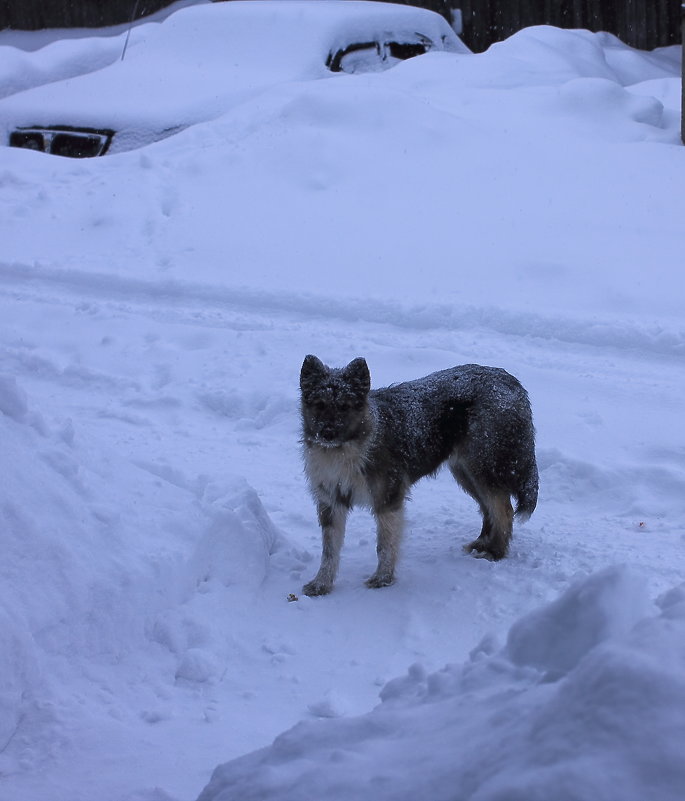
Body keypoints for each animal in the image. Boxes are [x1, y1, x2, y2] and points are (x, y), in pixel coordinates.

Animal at [300, 356, 540, 592]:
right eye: (319, 405)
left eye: (344, 407)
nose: (327, 433)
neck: (347, 448)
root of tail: (510, 380)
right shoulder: (331, 502)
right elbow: (329, 551)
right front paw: (321, 584)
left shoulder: (388, 499)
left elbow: (385, 545)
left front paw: (383, 579)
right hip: (466, 472)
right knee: (488, 508)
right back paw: (483, 543)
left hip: (483, 467)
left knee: (504, 510)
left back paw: (495, 552)